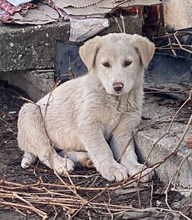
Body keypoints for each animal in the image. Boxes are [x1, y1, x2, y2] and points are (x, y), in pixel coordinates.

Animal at [17, 32, 154, 181]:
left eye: (128, 63)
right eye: (105, 64)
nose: (118, 86)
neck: (116, 100)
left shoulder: (124, 129)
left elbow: (128, 152)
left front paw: (137, 168)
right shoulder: (89, 124)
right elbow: (102, 148)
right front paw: (112, 168)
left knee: (62, 149)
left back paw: (85, 158)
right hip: (30, 113)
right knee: (46, 151)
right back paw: (62, 164)